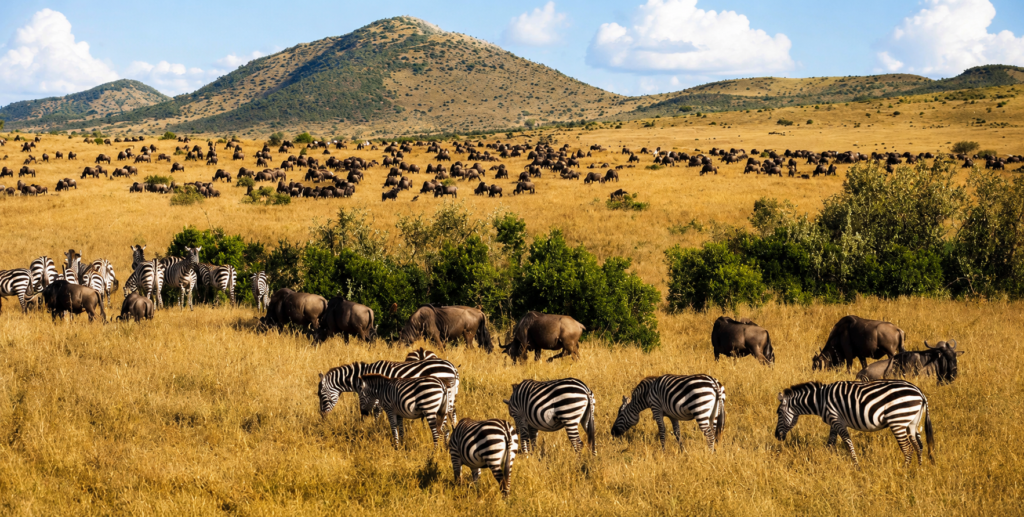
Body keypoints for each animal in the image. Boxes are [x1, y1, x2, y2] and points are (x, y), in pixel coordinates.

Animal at [318, 358, 459, 425]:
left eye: (321, 395)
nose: (322, 416)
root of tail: (452, 367)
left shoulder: (376, 396)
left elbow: (376, 413)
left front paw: (373, 428)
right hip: (450, 396)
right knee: (452, 412)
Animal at [775, 380, 934, 466]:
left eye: (779, 413)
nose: (776, 436)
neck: (820, 400)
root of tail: (920, 392)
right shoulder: (833, 422)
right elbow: (830, 443)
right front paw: (828, 462)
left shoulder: (837, 420)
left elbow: (848, 443)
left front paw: (856, 466)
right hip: (912, 422)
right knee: (919, 446)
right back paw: (918, 470)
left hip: (898, 420)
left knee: (908, 448)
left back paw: (904, 471)